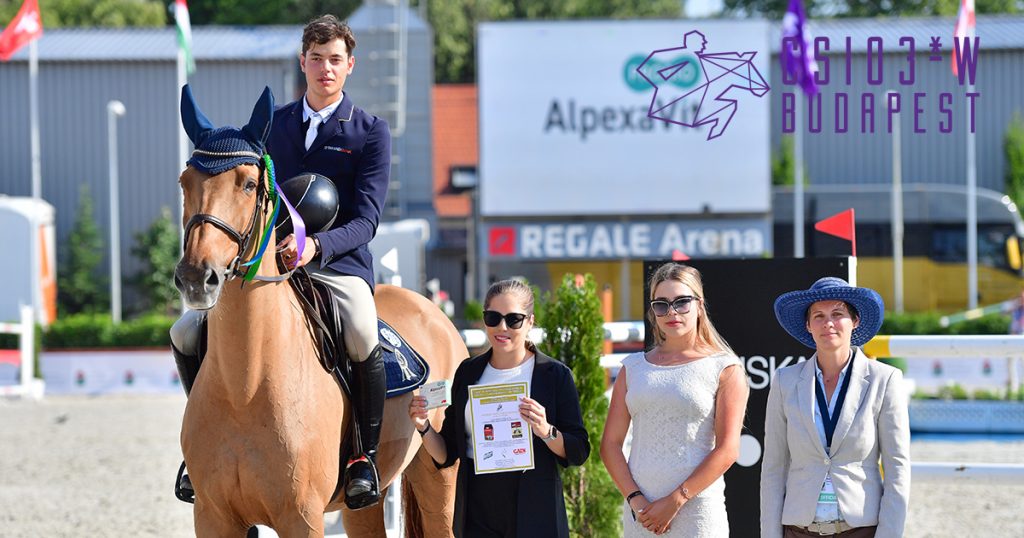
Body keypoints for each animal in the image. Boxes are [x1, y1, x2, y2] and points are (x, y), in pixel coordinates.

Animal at [177, 86, 464, 532]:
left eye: (248, 184)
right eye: (185, 182)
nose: (196, 276)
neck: (246, 384)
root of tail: (431, 310)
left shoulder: (301, 516)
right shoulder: (212, 517)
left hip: (438, 475)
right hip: (360, 507)